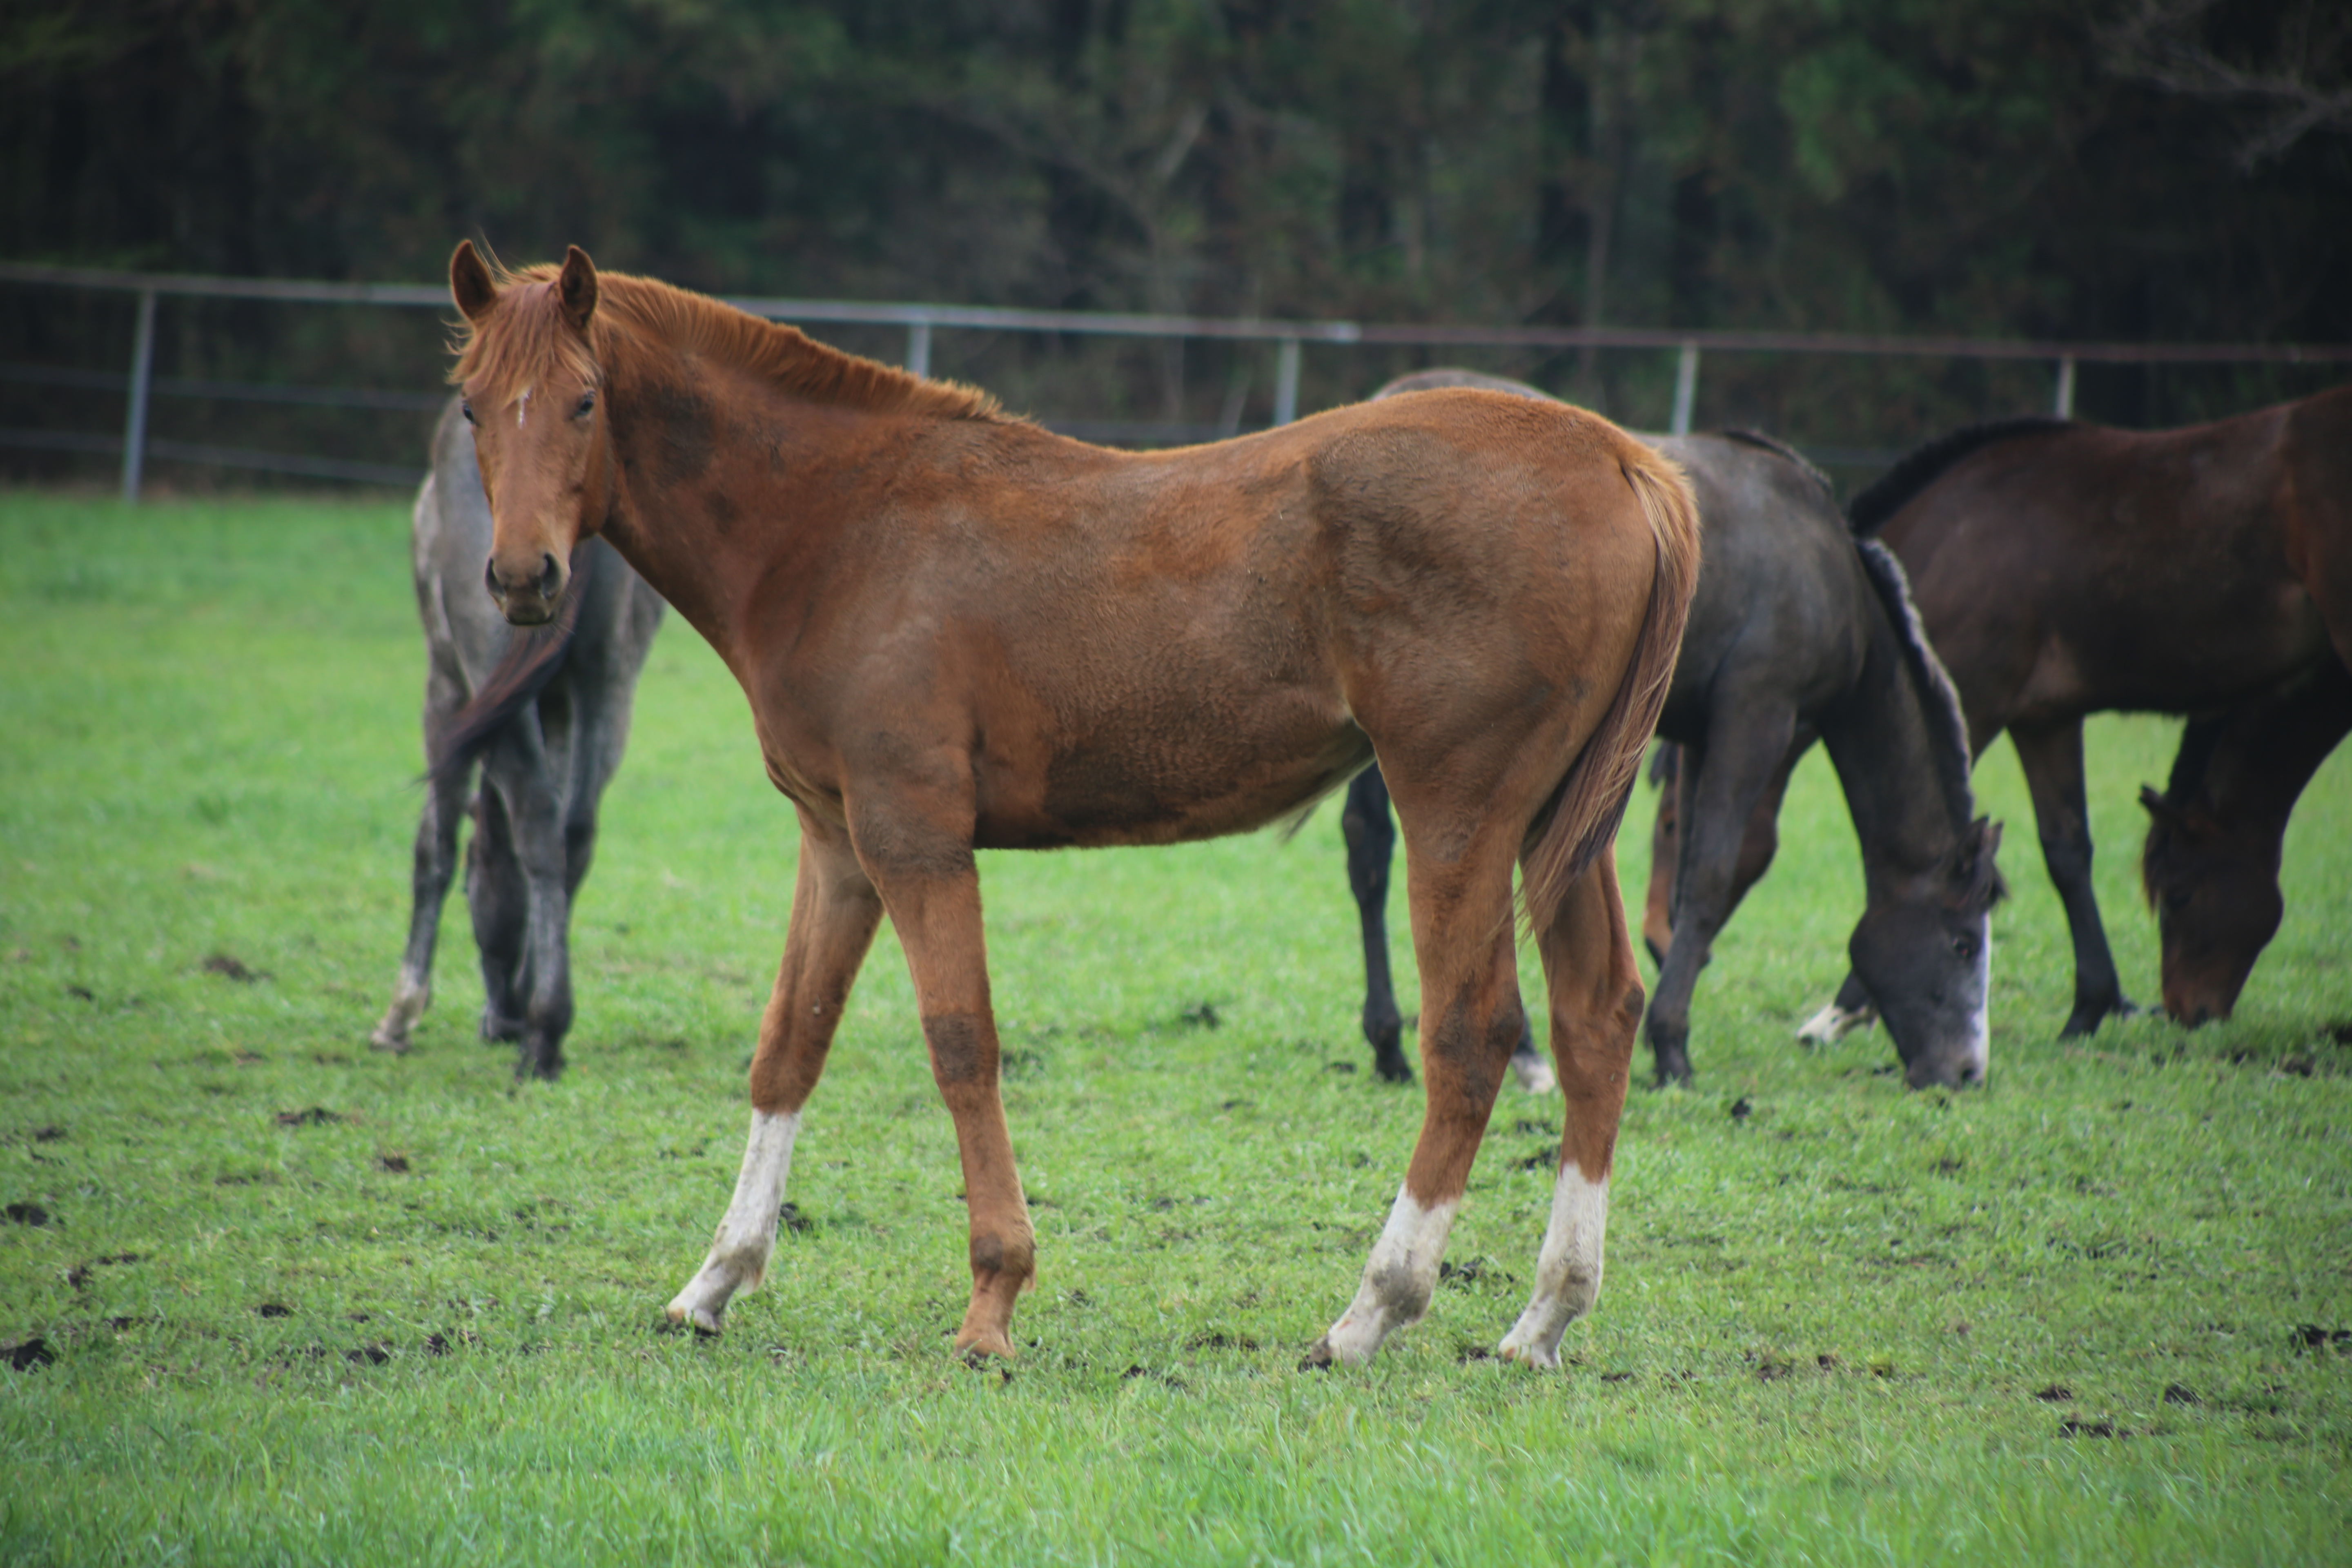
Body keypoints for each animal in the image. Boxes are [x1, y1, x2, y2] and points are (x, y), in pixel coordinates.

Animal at [369, 392, 663, 1081]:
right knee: (574, 830)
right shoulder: (556, 704)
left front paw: (402, 1011)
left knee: (535, 819)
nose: (500, 1014)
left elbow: (435, 846)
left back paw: (545, 1032)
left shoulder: (449, 690)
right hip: (609, 678)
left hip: (482, 662)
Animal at [444, 245, 1693, 1373]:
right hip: (1554, 830)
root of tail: (1616, 457)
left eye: (585, 399)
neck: (841, 525)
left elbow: (962, 1044)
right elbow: (789, 1044)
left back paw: (1369, 1312)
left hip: (1456, 815)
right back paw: (1542, 1319)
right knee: (1596, 1020)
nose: (521, 579)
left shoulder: (915, 839)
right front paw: (714, 1283)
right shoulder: (837, 844)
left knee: (1472, 1037)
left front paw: (992, 1305)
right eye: (469, 405)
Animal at [1345, 374, 2004, 1091]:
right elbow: (1714, 874)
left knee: (1371, 857)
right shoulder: (1757, 717)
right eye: (1963, 943)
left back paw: (1390, 1044)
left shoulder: (1700, 737)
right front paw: (1672, 1046)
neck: (1831, 579)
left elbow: (1693, 869)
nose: (1967, 1071)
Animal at [1834, 385, 2352, 1034]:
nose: (2186, 1011)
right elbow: (2067, 851)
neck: (1955, 535)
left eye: (2179, 896)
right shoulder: (2044, 718)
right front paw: (2094, 1005)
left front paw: (1846, 1007)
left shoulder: (1973, 697)